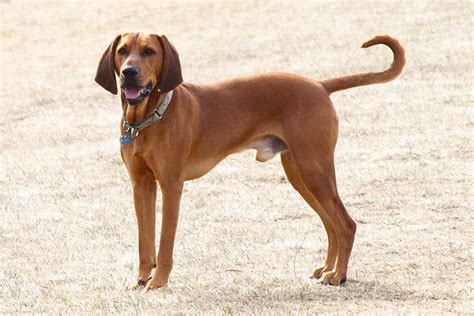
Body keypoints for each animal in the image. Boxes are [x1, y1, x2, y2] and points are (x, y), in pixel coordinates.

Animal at [95, 32, 404, 292]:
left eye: (149, 51)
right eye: (122, 51)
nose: (129, 72)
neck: (149, 119)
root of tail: (319, 85)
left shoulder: (171, 187)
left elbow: (164, 244)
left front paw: (158, 282)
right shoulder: (141, 186)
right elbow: (144, 242)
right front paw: (141, 279)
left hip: (314, 170)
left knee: (346, 224)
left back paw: (338, 275)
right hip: (300, 174)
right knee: (331, 223)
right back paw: (328, 268)